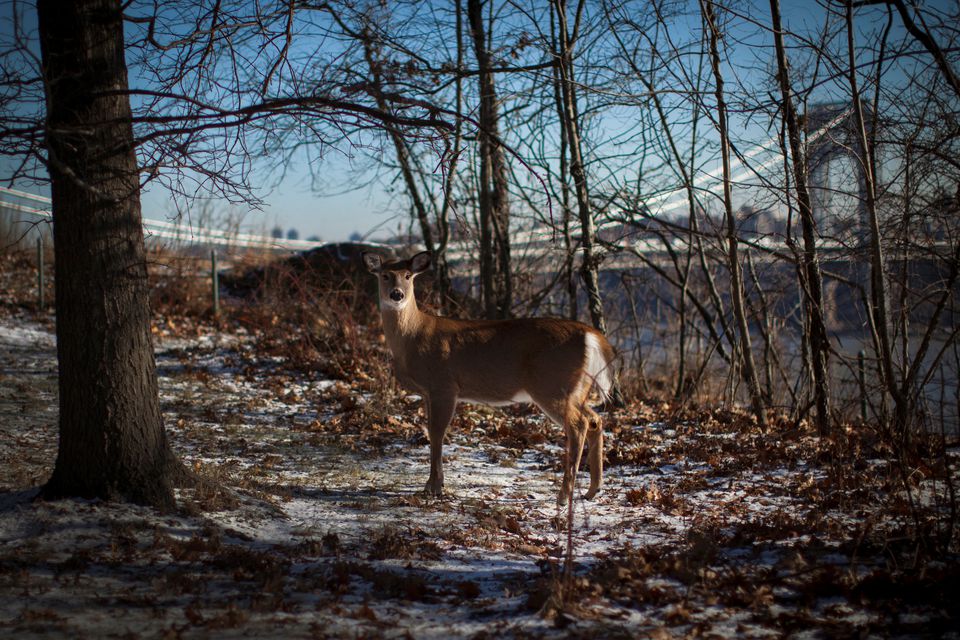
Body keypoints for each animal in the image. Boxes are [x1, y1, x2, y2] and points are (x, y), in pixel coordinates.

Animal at [360, 250, 616, 504]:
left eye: (408, 275)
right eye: (385, 275)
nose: (397, 294)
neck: (413, 337)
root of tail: (592, 336)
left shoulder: (444, 385)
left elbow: (437, 433)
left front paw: (434, 487)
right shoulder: (427, 392)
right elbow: (431, 431)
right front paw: (432, 485)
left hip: (552, 384)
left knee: (579, 425)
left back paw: (564, 496)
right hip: (577, 388)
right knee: (594, 420)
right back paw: (593, 489)